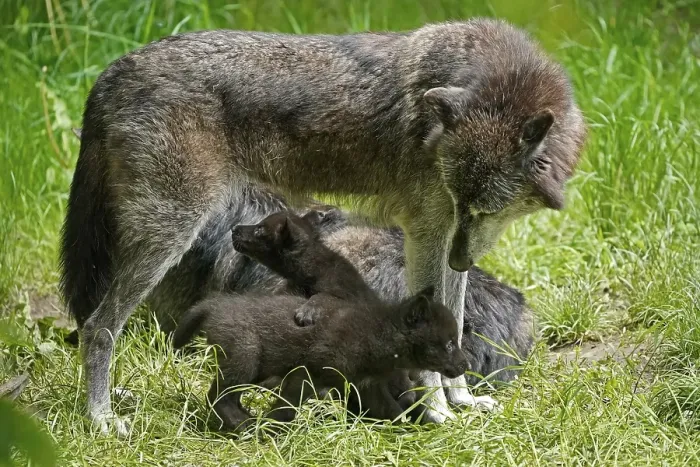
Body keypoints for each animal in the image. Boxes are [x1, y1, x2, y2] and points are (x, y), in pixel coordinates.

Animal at [172, 286, 468, 432]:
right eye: (449, 343)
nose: (465, 365)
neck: (379, 335)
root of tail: (216, 304)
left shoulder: (366, 386)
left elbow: (393, 412)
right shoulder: (306, 373)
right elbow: (286, 409)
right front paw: (272, 430)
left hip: (252, 369)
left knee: (229, 396)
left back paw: (244, 419)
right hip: (244, 358)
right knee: (217, 396)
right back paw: (241, 425)